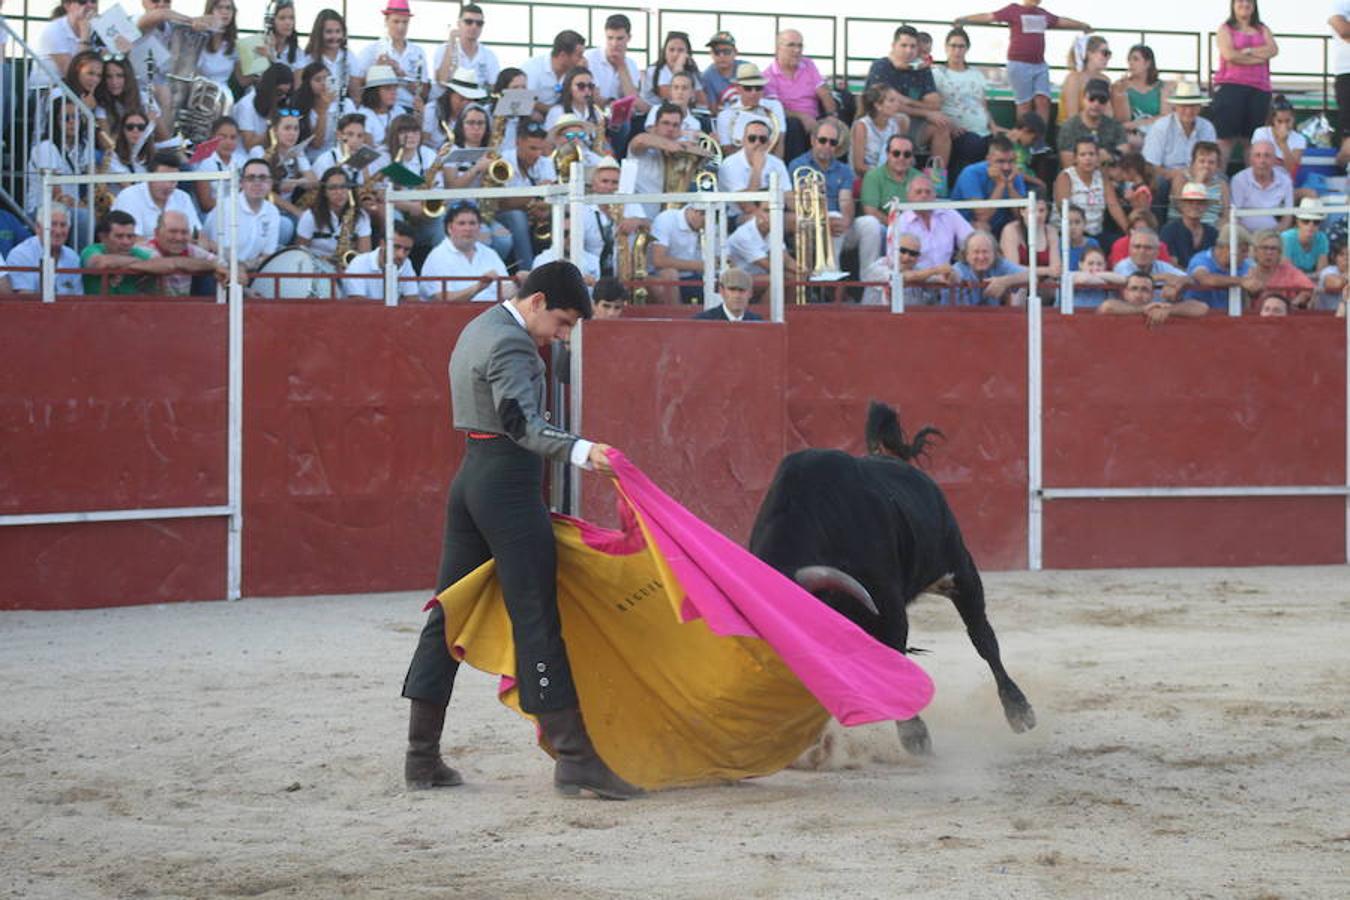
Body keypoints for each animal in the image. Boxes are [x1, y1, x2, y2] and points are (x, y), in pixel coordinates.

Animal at [745, 407, 1036, 755]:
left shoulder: (889, 609)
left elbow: (894, 660)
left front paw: (915, 736)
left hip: (958, 570)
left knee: (983, 637)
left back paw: (1019, 710)